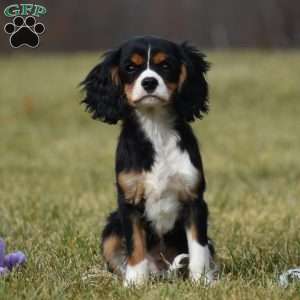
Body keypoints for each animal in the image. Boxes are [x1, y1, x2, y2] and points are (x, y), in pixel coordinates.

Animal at [82, 35, 217, 286]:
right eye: (130, 67)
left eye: (165, 65)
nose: (149, 83)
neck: (156, 127)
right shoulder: (128, 201)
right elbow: (135, 245)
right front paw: (135, 282)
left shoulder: (194, 199)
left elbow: (197, 246)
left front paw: (202, 280)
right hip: (111, 229)